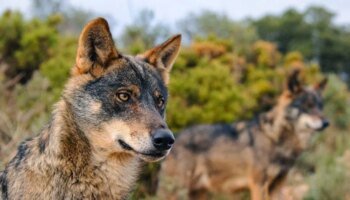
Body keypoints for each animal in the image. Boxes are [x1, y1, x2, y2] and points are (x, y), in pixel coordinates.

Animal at [158, 69, 328, 199]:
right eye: (307, 106)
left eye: (320, 106)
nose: (326, 122)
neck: (275, 138)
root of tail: (175, 137)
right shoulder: (258, 185)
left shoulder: (277, 186)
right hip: (178, 191)